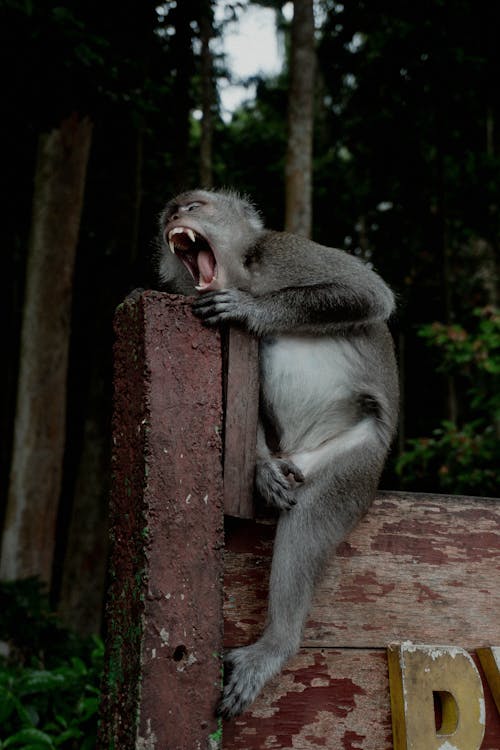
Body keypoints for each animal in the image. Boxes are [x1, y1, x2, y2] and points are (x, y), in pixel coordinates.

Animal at [156, 187, 398, 716]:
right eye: (171, 210)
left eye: (195, 205)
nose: (173, 214)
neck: (243, 272)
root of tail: (302, 452)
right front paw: (258, 468)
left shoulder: (286, 251)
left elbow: (369, 293)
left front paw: (253, 309)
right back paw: (266, 469)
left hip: (357, 459)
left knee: (309, 519)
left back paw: (277, 645)